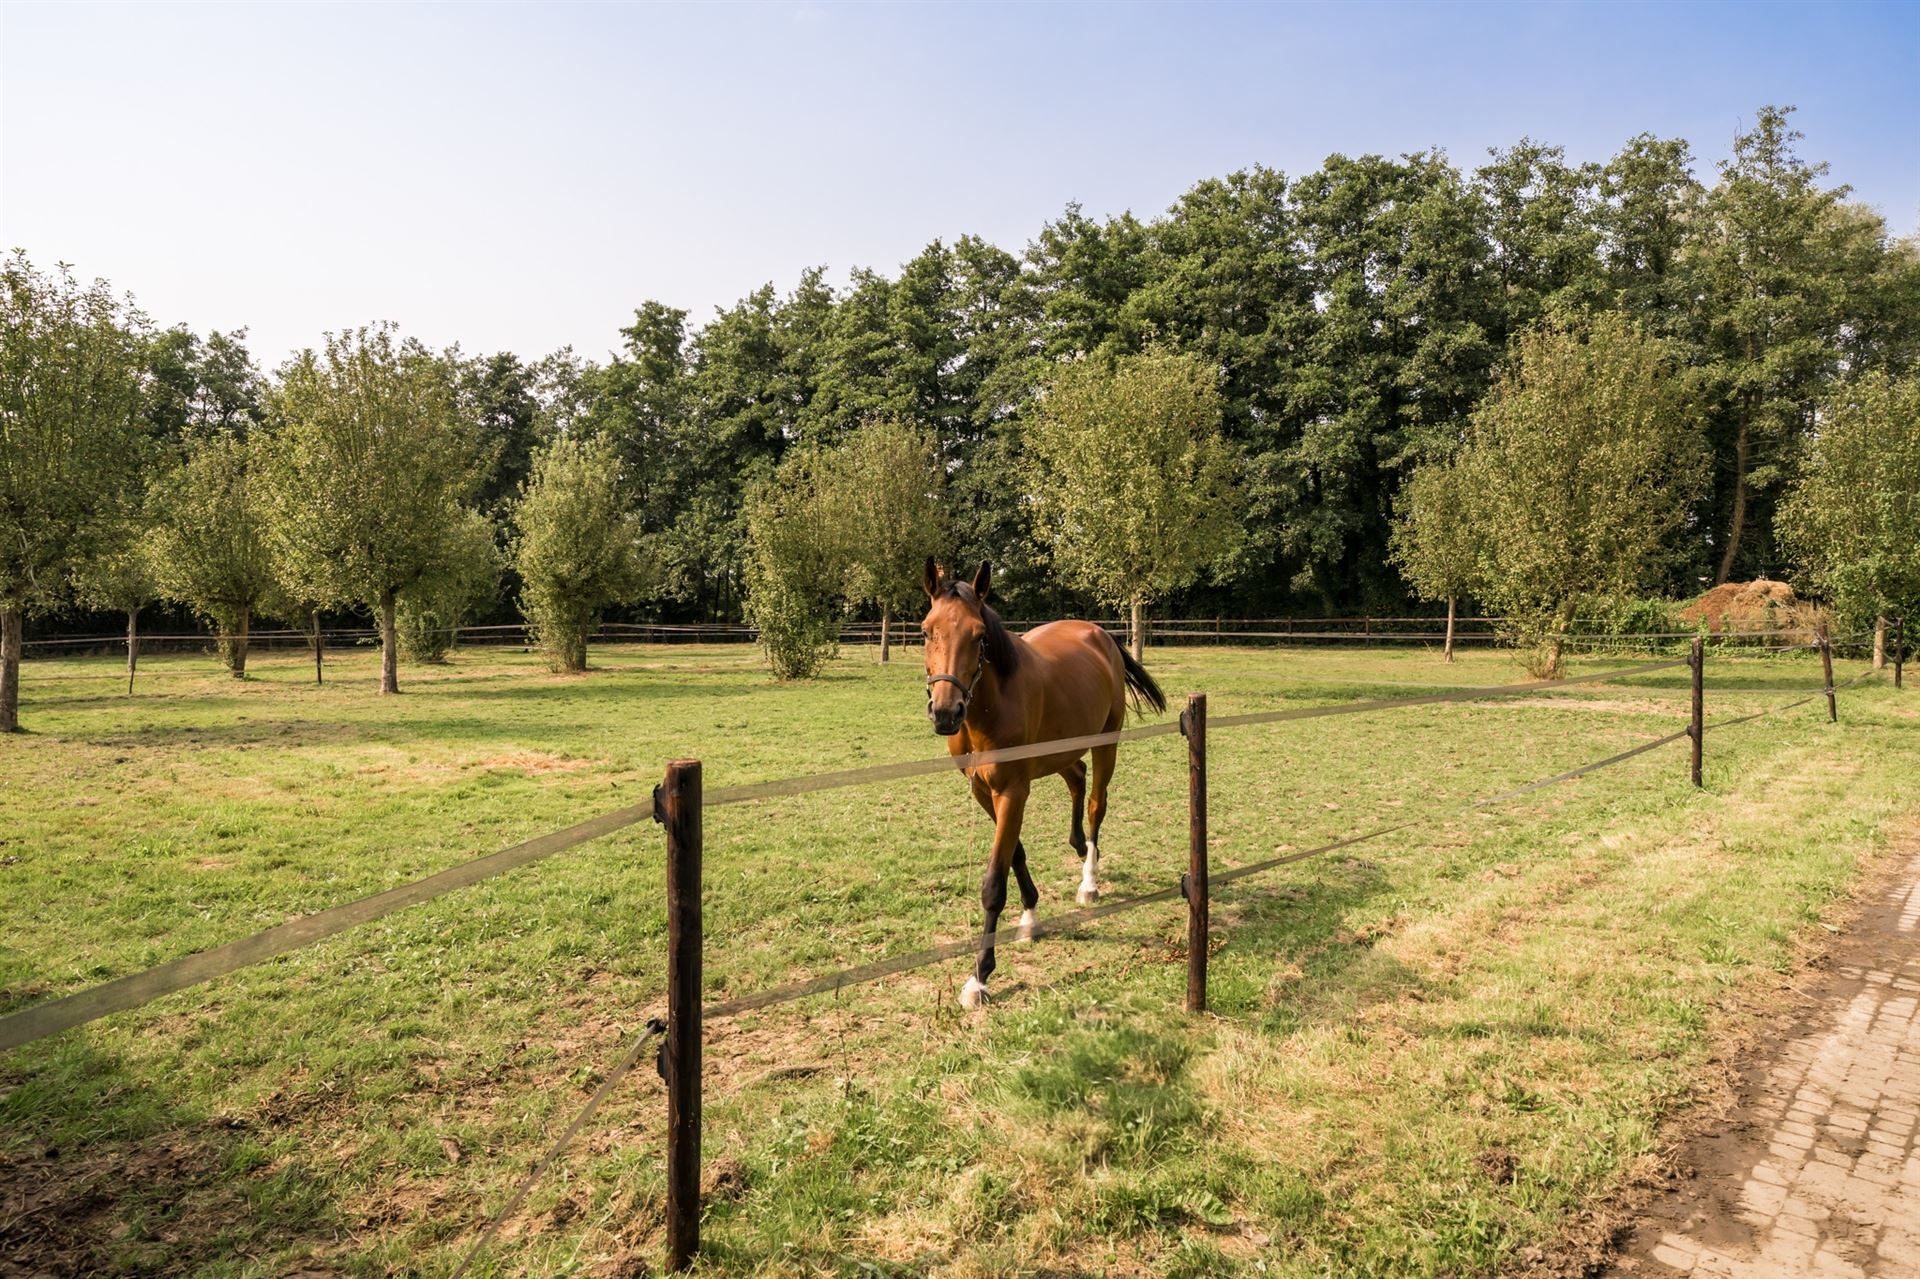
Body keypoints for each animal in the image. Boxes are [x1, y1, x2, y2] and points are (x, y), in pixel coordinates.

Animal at [917, 556, 1167, 1006]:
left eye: (979, 635)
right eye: (926, 630)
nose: (946, 712)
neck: (991, 705)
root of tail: (1100, 635)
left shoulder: (1013, 790)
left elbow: (994, 882)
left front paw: (979, 977)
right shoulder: (985, 791)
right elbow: (1015, 853)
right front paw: (1031, 915)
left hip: (1106, 744)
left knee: (1096, 804)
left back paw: (1089, 879)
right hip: (1062, 751)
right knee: (1077, 779)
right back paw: (1078, 846)